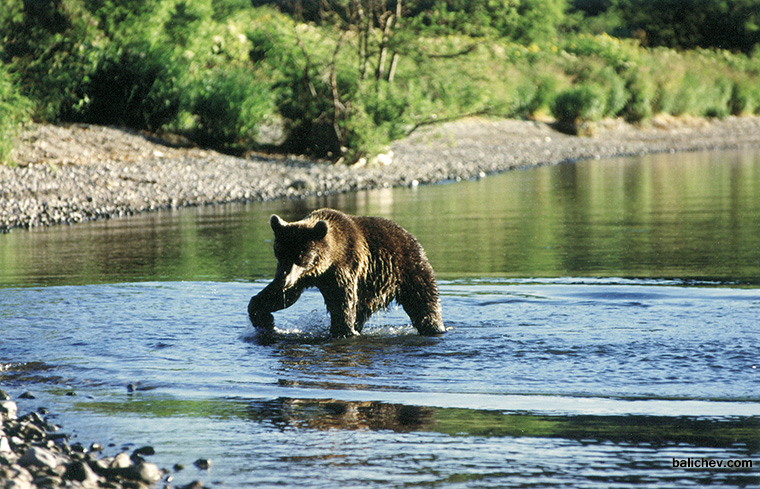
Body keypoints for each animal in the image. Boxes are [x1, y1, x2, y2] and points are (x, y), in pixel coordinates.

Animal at [248, 208, 446, 338]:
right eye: (279, 253)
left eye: (300, 256)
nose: (282, 280)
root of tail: (410, 236)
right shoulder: (304, 277)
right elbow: (284, 297)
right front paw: (264, 319)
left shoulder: (345, 267)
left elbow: (342, 302)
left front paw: (342, 330)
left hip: (409, 268)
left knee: (423, 301)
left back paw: (435, 327)